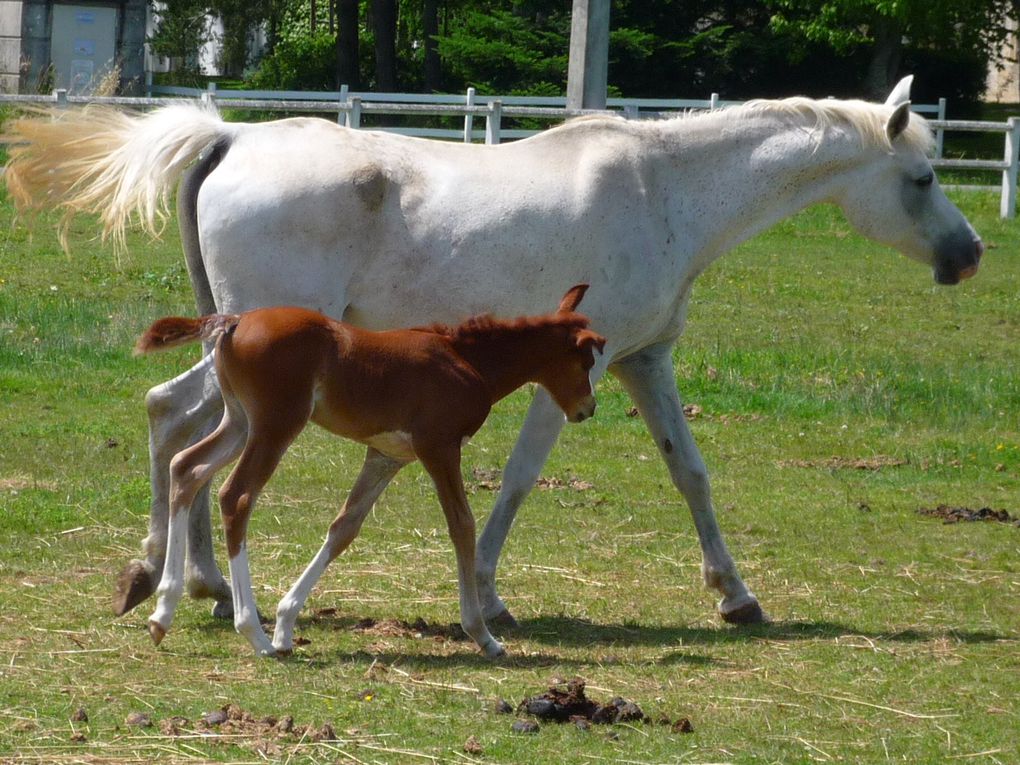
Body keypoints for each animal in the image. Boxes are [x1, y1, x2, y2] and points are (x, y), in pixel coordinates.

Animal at [132, 285, 599, 660]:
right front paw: (483, 635)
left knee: (187, 468)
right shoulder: (439, 447)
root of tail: (235, 321)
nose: (588, 409)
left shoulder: (386, 455)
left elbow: (344, 527)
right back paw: (253, 633)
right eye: (585, 362)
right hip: (275, 425)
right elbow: (462, 526)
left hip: (239, 421)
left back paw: (163, 613)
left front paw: (286, 624)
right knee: (236, 496)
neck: (468, 359)